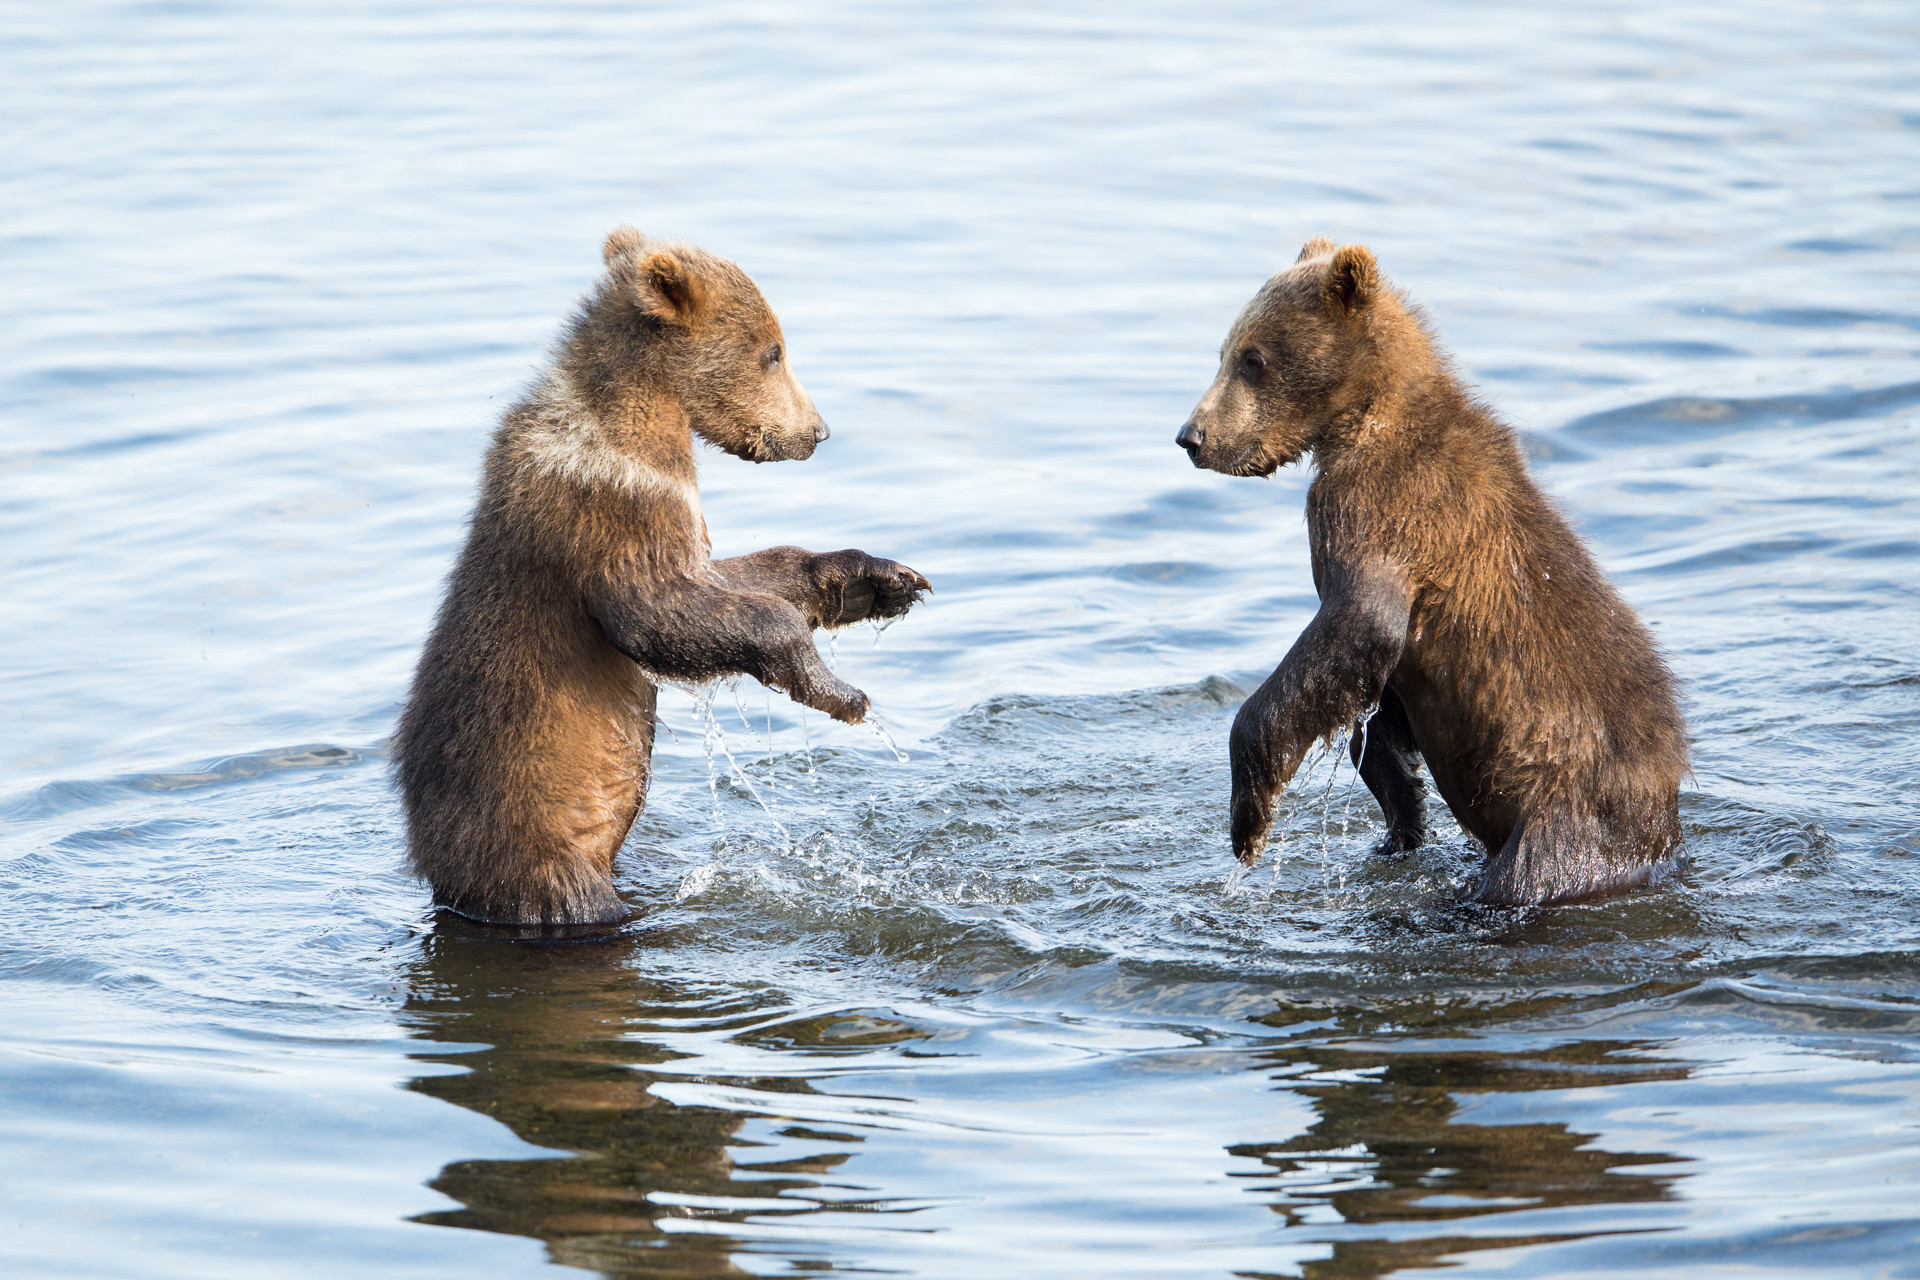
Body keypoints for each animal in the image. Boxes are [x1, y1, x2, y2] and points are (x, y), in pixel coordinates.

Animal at [393, 229, 931, 926]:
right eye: (773, 352)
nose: (817, 431)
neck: (648, 421)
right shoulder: (612, 508)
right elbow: (657, 610)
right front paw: (838, 688)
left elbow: (729, 580)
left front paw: (879, 580)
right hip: (533, 845)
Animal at [1175, 238, 1688, 905]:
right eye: (1226, 351)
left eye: (1252, 357)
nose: (1192, 436)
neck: (1363, 419)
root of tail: (1662, 818)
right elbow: (1374, 694)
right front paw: (1403, 807)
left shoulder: (1387, 510)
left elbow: (1358, 621)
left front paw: (1251, 816)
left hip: (1563, 826)